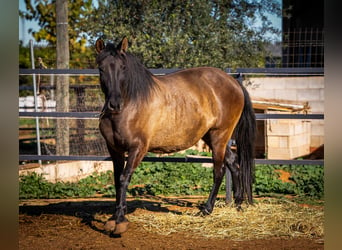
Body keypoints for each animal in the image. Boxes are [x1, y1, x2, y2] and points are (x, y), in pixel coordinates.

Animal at [95, 36, 255, 234]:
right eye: (101, 68)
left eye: (123, 67)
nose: (114, 104)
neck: (130, 105)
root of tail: (233, 82)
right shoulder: (114, 150)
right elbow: (117, 180)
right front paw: (113, 219)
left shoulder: (137, 149)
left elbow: (125, 178)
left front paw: (120, 220)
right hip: (212, 137)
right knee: (233, 163)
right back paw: (238, 204)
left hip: (220, 137)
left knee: (219, 171)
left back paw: (207, 209)